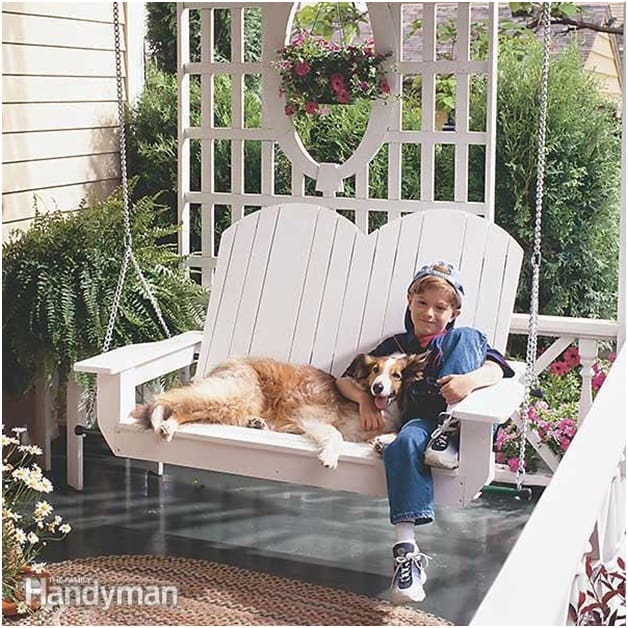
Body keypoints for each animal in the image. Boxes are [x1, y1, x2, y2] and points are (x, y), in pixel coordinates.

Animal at [131, 354, 430, 466]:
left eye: (397, 375)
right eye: (375, 371)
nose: (378, 388)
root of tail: (227, 364)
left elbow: (398, 431)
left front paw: (382, 441)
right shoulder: (313, 417)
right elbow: (336, 436)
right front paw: (330, 457)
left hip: (234, 405)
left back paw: (257, 423)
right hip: (233, 394)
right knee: (175, 400)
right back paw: (165, 422)